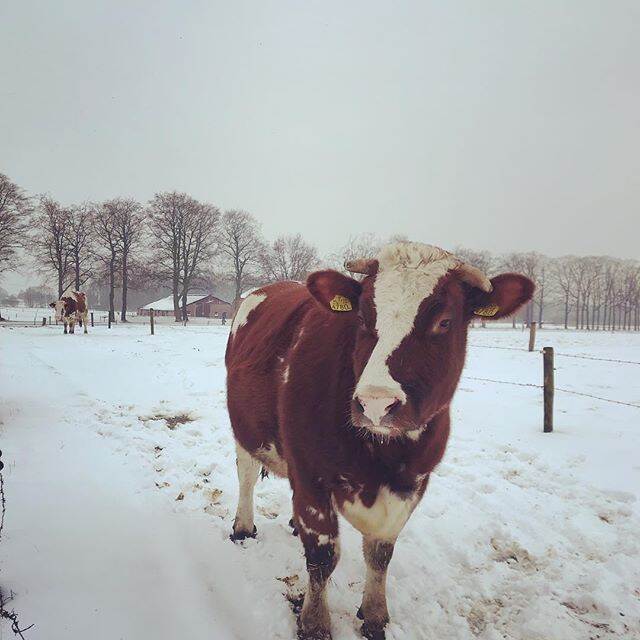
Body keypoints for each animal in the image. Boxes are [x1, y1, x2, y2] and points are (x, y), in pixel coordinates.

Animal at [222, 242, 532, 636]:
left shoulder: (413, 482)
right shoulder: (309, 473)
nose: (375, 402)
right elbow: (322, 556)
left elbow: (380, 552)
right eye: (363, 318)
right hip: (245, 430)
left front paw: (373, 614)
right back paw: (243, 527)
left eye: (444, 321)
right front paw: (315, 623)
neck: (382, 456)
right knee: (246, 476)